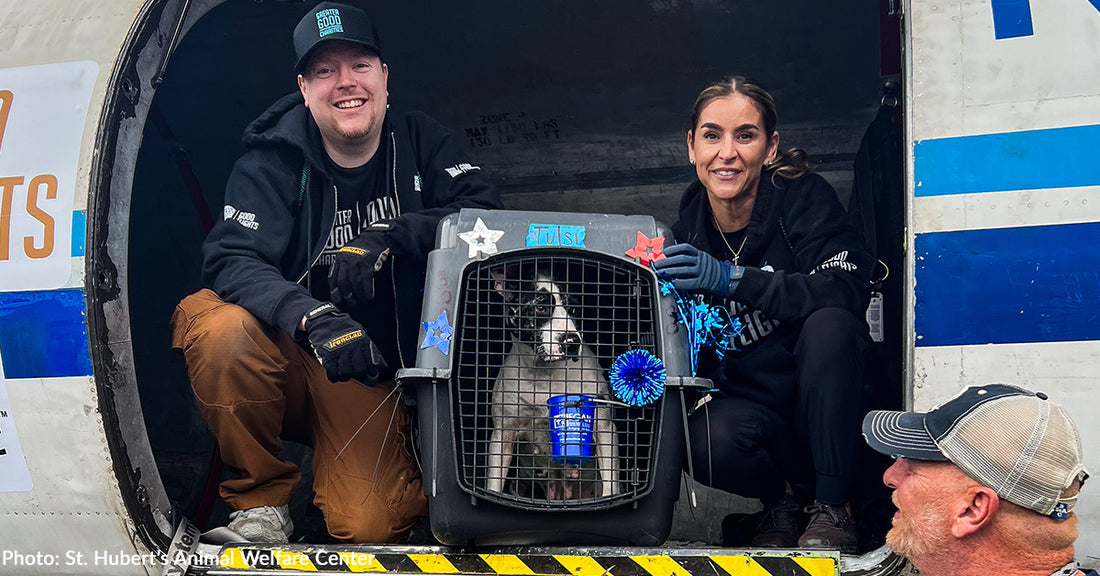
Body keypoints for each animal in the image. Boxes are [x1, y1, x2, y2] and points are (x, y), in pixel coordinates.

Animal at [448, 253, 655, 505]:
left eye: (574, 308)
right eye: (540, 306)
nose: (571, 341)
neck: (544, 373)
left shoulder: (604, 428)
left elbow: (611, 484)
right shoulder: (503, 435)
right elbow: (494, 483)